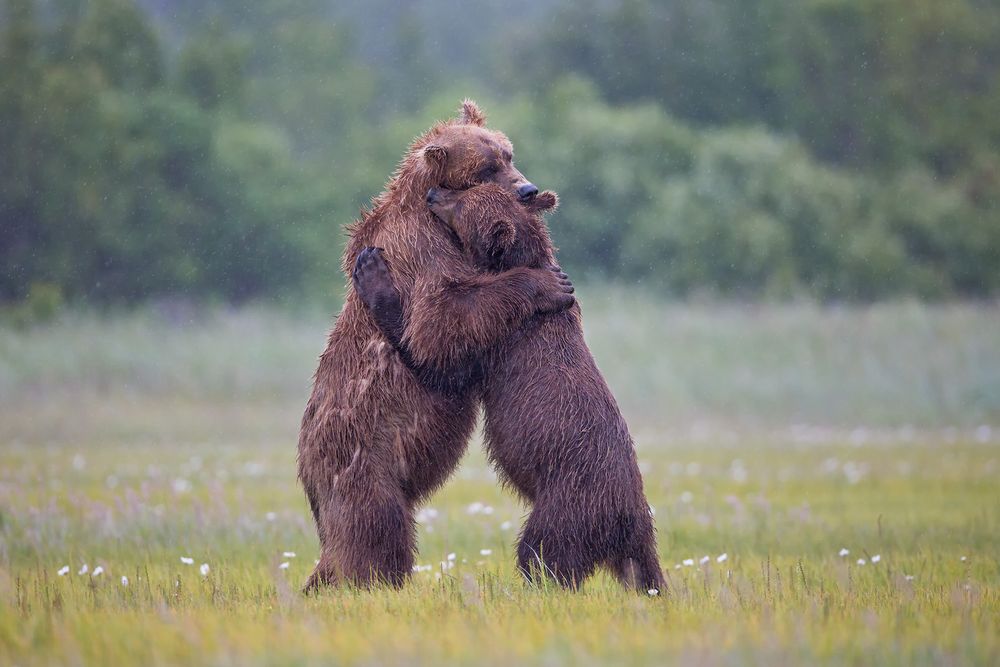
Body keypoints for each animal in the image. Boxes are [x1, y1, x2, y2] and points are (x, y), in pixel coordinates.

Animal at [298, 101, 575, 591]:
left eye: (508, 154)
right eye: (486, 167)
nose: (527, 188)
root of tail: (304, 467)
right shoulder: (420, 251)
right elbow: (440, 322)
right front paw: (544, 283)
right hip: (360, 459)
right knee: (375, 527)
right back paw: (372, 580)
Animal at [352, 183, 665, 594]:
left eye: (463, 204)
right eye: (472, 188)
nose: (434, 193)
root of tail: (631, 515)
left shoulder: (499, 342)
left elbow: (441, 364)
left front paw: (373, 274)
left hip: (571, 503)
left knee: (543, 551)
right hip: (631, 537)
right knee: (642, 573)